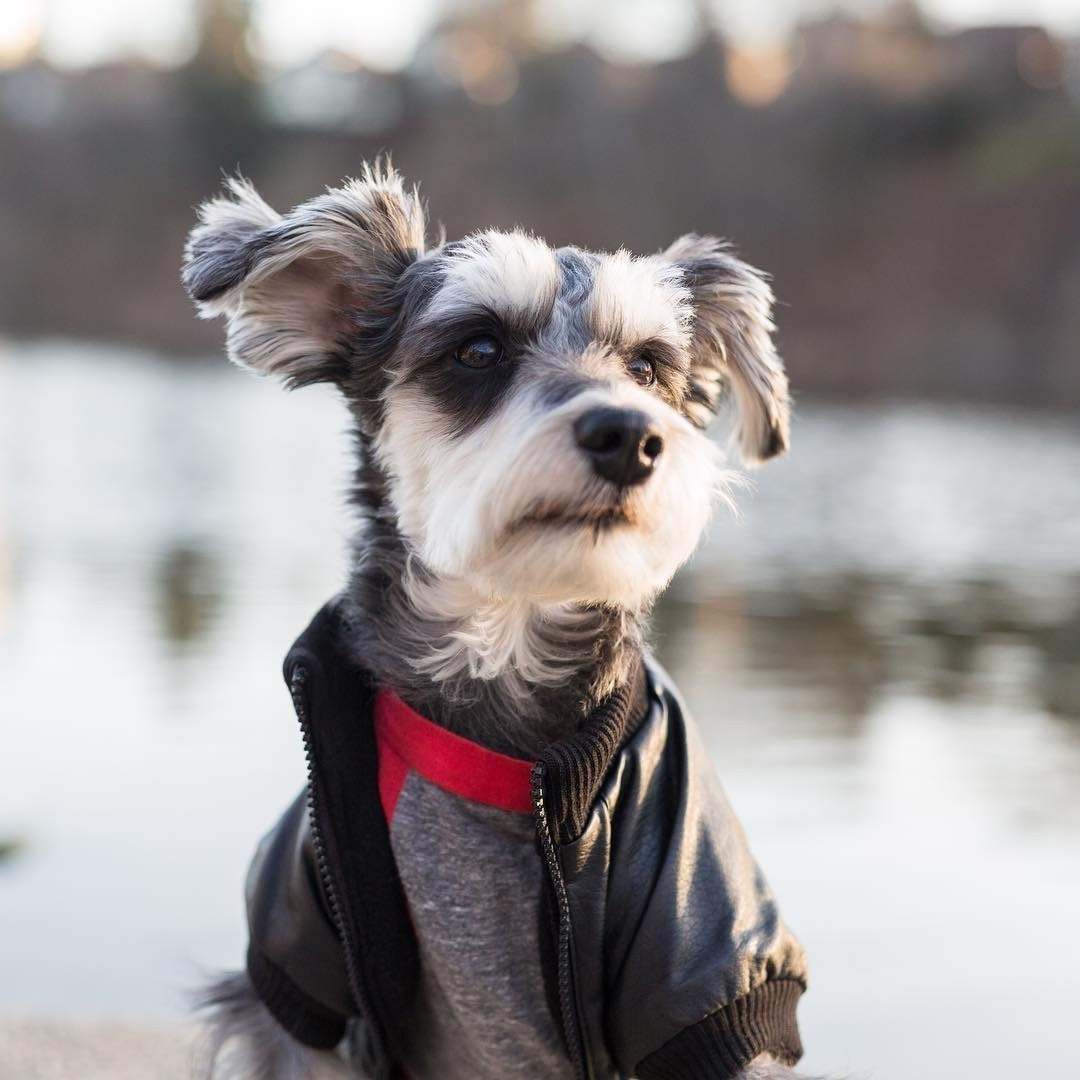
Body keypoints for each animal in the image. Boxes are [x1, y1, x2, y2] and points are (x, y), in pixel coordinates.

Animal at [183, 159, 812, 1080]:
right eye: (478, 348)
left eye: (649, 366)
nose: (629, 435)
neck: (502, 639)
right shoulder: (302, 972)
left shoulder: (704, 968)